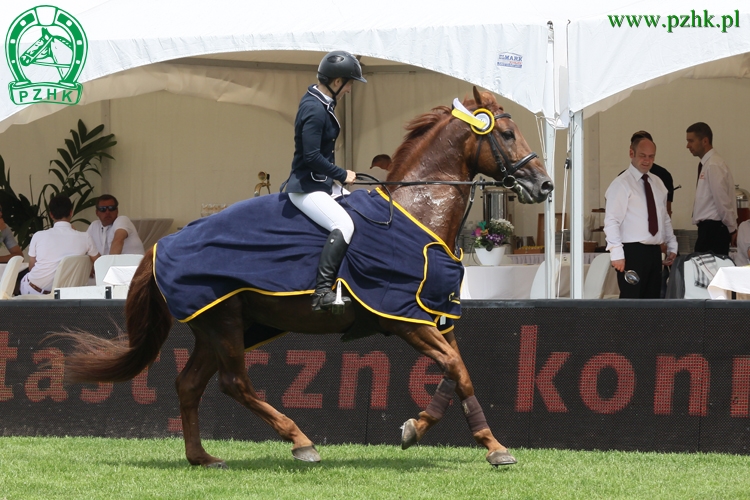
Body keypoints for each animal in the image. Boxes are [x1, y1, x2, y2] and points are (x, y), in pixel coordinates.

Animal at [63, 87, 552, 468]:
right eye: (507, 134)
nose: (544, 186)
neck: (415, 214)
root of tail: (161, 245)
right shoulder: (402, 317)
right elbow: (456, 369)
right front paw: (440, 434)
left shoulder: (432, 316)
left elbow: (460, 371)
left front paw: (477, 441)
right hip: (224, 322)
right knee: (234, 383)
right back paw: (300, 442)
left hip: (217, 327)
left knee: (190, 384)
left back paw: (201, 457)